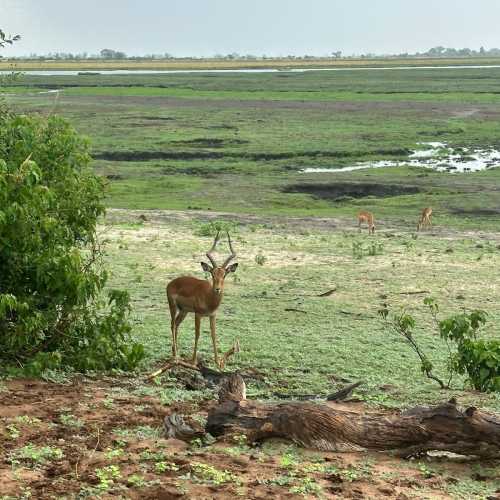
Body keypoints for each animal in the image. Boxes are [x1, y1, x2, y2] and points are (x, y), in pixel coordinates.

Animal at [166, 232, 238, 370]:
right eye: (212, 274)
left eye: (224, 274)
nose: (217, 289)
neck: (209, 297)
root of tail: (171, 283)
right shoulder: (198, 314)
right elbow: (197, 334)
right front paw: (194, 361)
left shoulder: (212, 315)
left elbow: (213, 335)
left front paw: (217, 362)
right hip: (173, 307)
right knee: (172, 324)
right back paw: (175, 356)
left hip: (184, 311)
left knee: (176, 324)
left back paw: (175, 352)